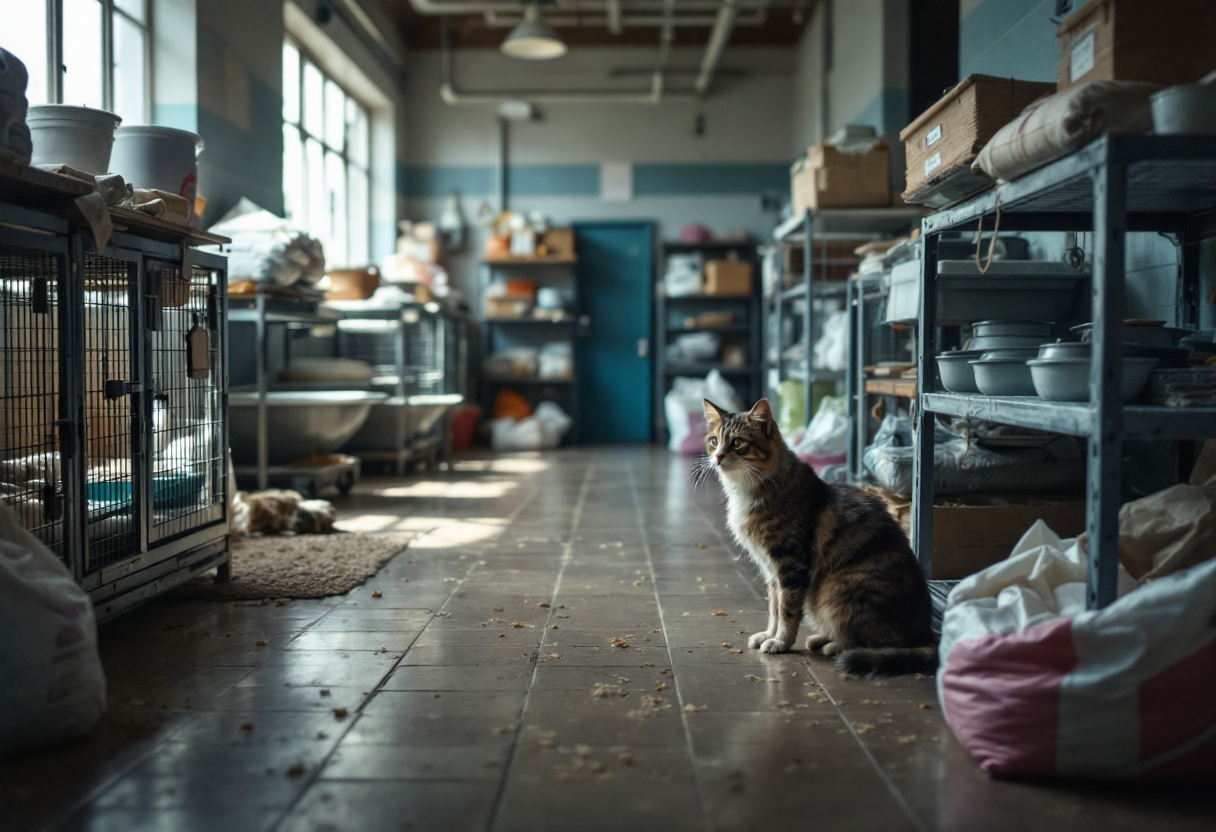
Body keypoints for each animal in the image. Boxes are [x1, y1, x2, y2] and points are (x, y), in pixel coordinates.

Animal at [700, 396, 933, 676]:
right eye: (714, 440)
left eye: (737, 442)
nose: (718, 456)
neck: (748, 488)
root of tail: (925, 632)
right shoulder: (771, 571)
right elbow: (773, 608)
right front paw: (768, 634)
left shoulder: (791, 565)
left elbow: (787, 611)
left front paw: (780, 642)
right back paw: (820, 639)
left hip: (837, 592)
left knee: (875, 640)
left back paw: (835, 646)